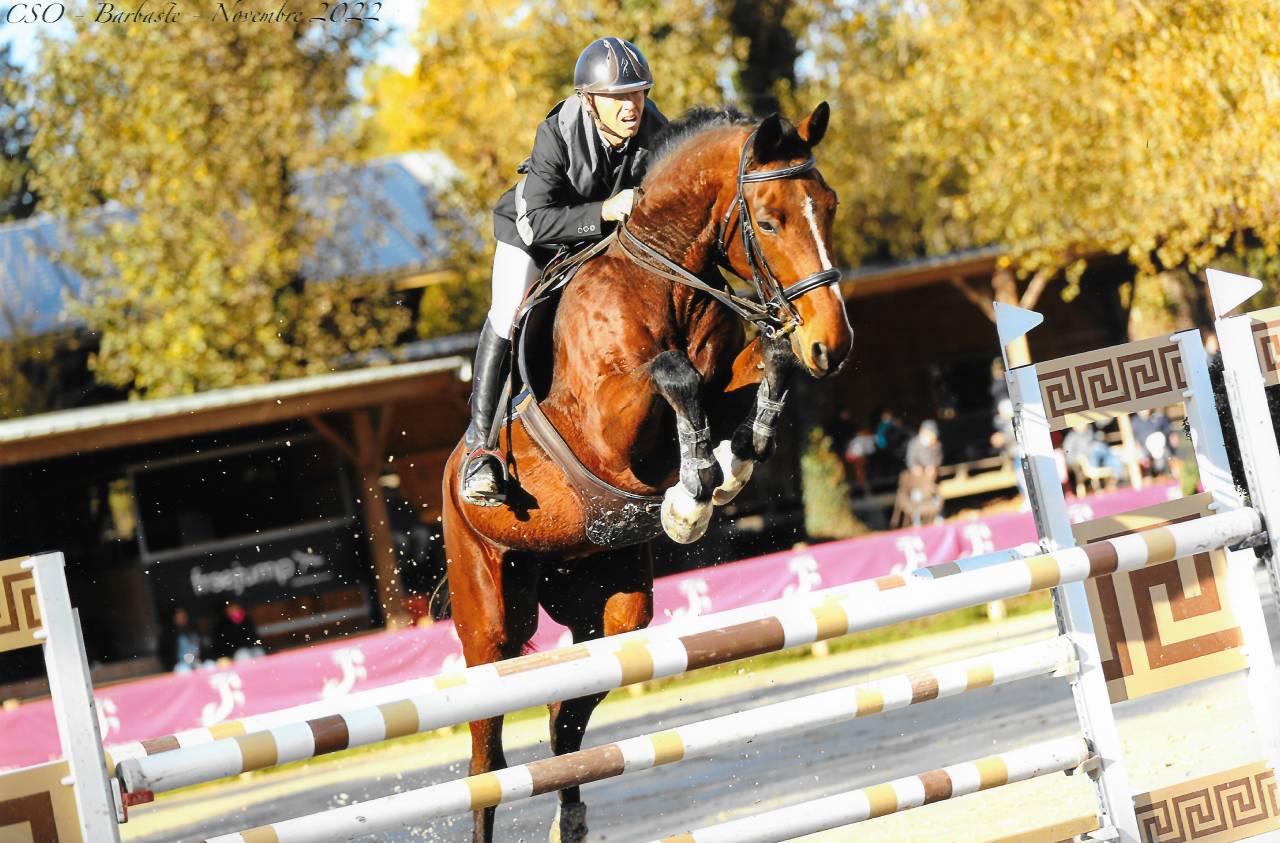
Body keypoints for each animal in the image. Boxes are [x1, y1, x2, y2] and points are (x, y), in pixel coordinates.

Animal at [441, 102, 852, 843]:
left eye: (828, 206)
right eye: (769, 220)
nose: (832, 345)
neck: (665, 276)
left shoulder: (728, 374)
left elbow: (764, 365)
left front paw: (729, 465)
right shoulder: (608, 423)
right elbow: (673, 373)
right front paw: (691, 499)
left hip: (612, 607)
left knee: (564, 720)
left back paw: (571, 821)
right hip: (489, 622)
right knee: (486, 762)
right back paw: (485, 472)